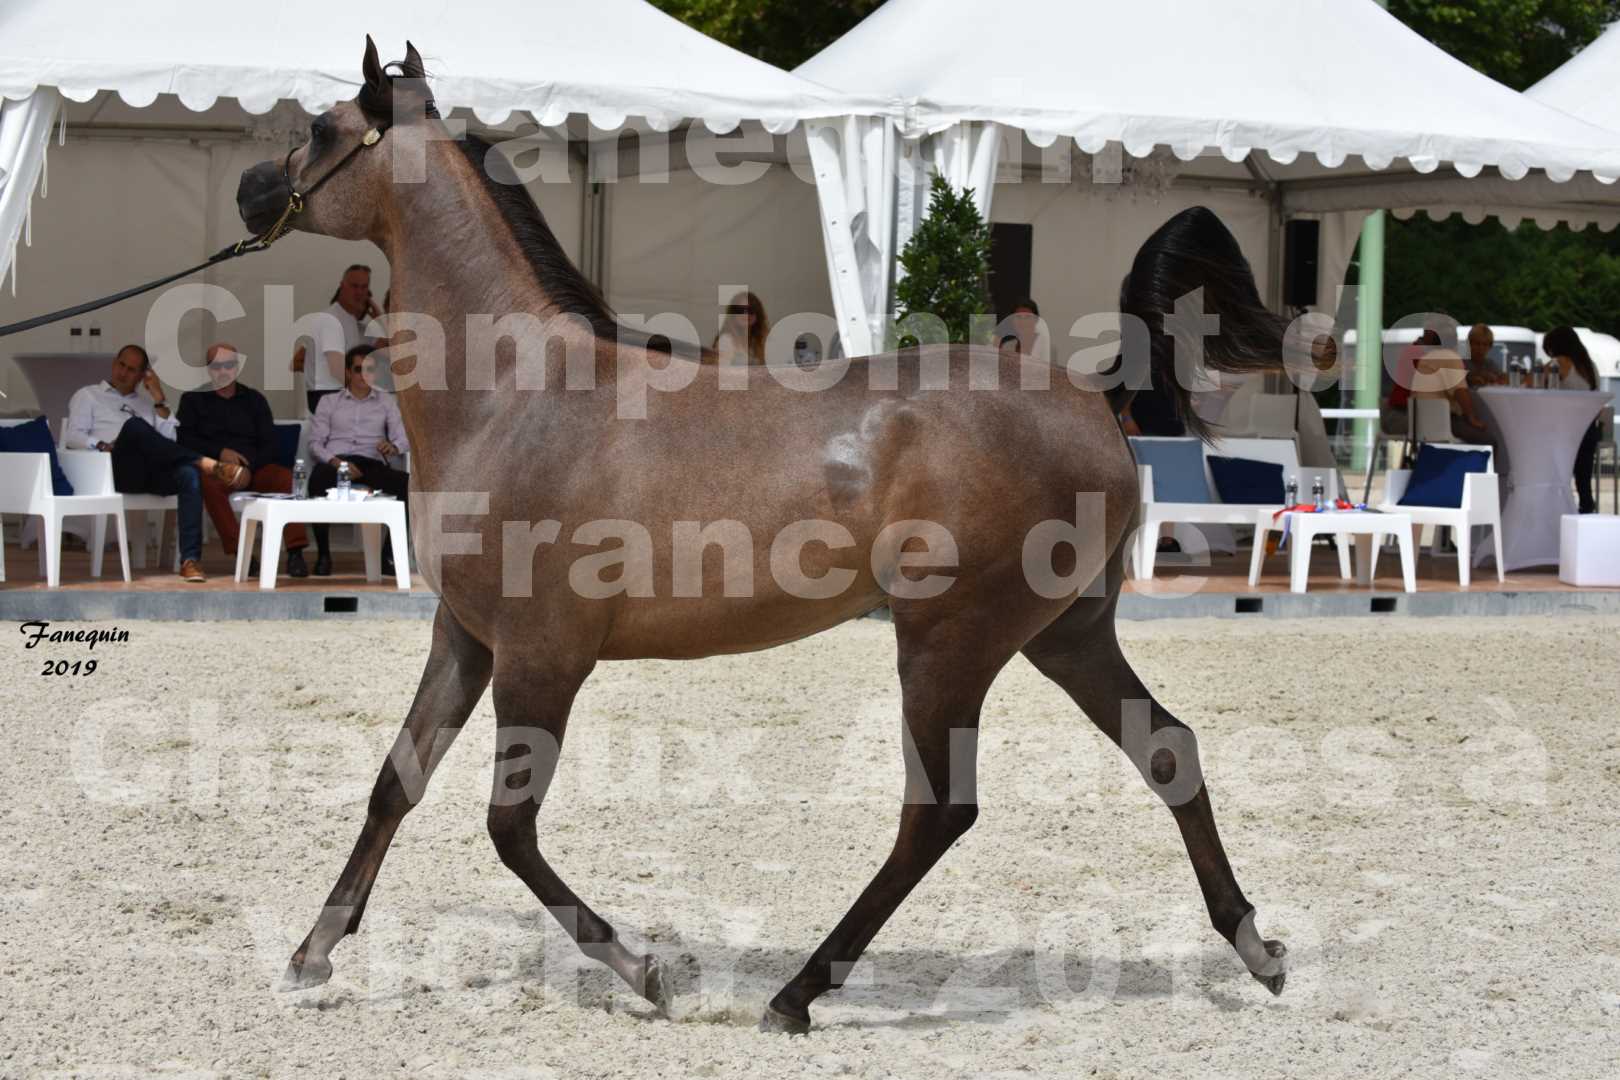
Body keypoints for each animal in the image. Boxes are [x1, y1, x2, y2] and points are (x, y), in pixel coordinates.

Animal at [234, 42, 1283, 1036]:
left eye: (322, 129)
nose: (251, 189)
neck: (516, 395)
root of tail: (1093, 397)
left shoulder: (542, 655)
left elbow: (509, 829)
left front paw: (647, 973)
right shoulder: (465, 638)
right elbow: (395, 783)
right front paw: (311, 955)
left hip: (949, 640)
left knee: (939, 810)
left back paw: (796, 994)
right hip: (1063, 634)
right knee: (1166, 750)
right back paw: (1256, 946)